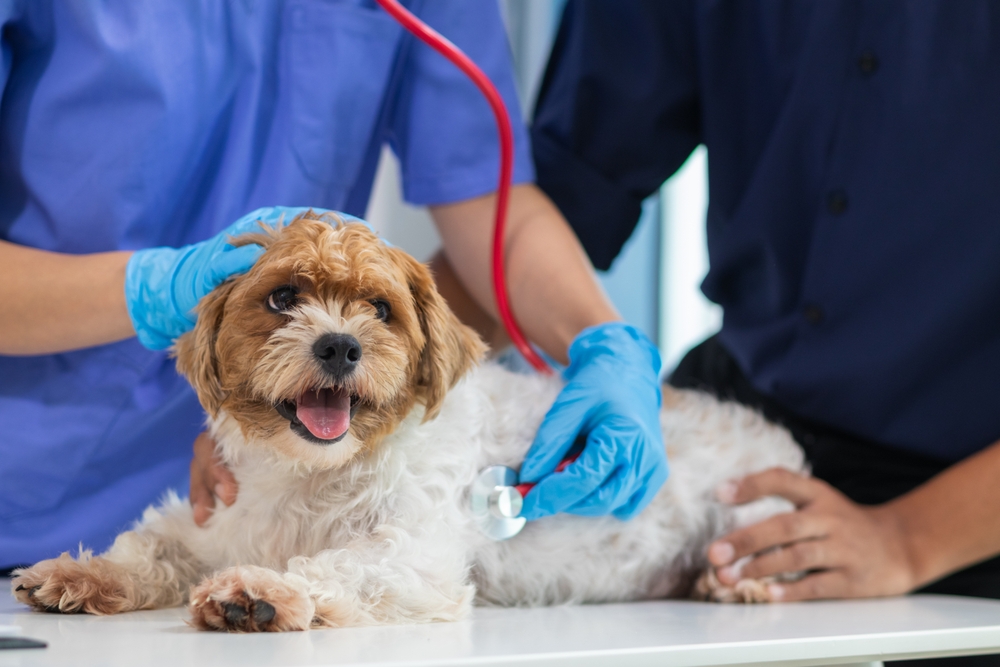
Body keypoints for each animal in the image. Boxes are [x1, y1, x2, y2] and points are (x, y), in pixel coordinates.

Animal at [9, 213, 804, 632]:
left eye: (379, 309)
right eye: (283, 297)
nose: (339, 343)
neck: (313, 474)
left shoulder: (416, 552)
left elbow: (335, 565)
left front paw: (259, 592)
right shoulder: (218, 519)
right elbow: (151, 546)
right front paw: (80, 571)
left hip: (755, 517)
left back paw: (737, 584)